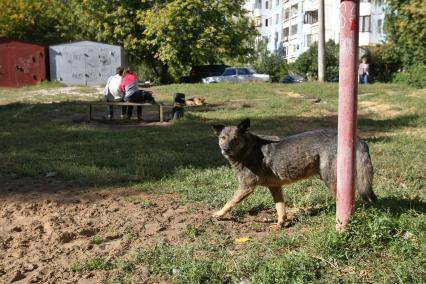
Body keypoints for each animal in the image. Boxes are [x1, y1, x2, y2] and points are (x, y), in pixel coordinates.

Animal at [211, 118, 376, 229]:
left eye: (235, 139)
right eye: (223, 138)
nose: (225, 149)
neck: (249, 150)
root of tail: (357, 137)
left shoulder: (246, 187)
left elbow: (229, 203)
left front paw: (218, 214)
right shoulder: (275, 187)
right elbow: (280, 208)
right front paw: (280, 224)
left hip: (330, 180)